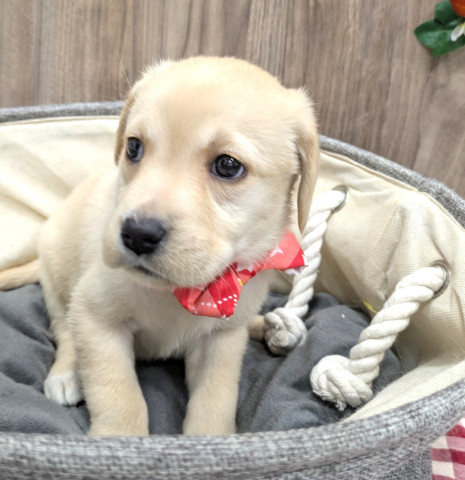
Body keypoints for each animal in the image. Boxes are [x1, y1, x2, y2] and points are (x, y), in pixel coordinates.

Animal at [3, 57, 319, 436]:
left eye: (228, 165)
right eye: (133, 147)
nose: (137, 234)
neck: (182, 292)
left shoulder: (221, 341)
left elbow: (215, 400)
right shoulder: (96, 319)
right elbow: (119, 395)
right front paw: (119, 438)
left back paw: (268, 326)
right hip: (57, 279)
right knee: (64, 329)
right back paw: (66, 374)